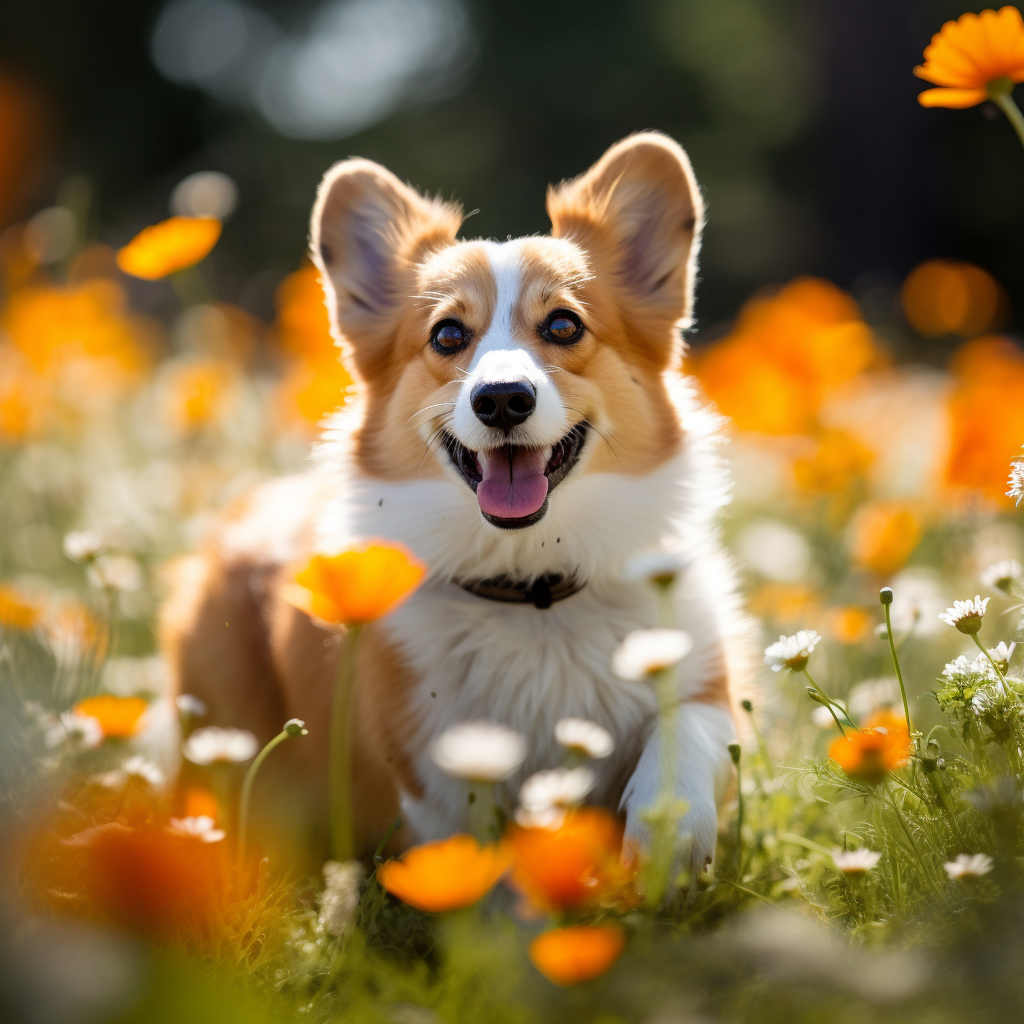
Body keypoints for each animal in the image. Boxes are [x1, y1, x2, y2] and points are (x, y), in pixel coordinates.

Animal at [161, 130, 753, 872]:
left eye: (564, 326)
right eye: (447, 335)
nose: (501, 399)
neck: (532, 586)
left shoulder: (709, 676)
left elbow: (690, 729)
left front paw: (668, 832)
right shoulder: (431, 773)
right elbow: (477, 869)